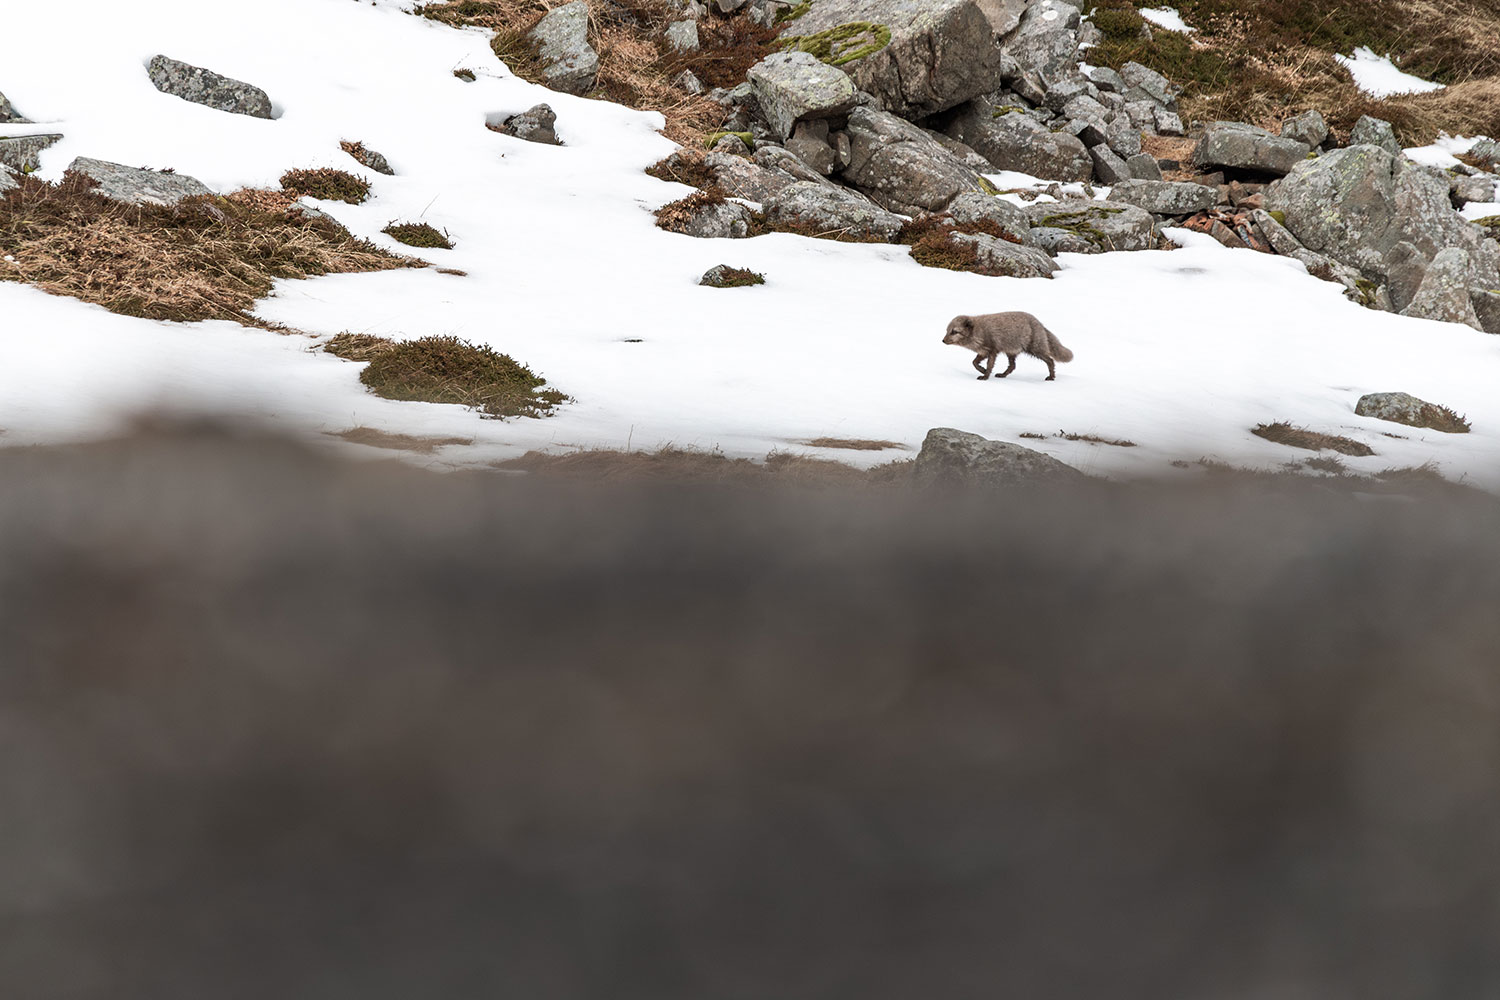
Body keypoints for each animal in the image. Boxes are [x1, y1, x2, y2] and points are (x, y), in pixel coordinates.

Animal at [942, 310, 1074, 380]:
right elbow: (974, 363)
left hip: (1035, 350)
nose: (943, 341)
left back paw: (1051, 377)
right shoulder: (983, 351)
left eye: (954, 331)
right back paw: (1002, 375)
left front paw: (985, 376)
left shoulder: (992, 350)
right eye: (947, 331)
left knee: (1050, 361)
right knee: (1012, 366)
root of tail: (1039, 323)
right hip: (1011, 352)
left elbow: (989, 365)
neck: (979, 332)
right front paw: (982, 370)